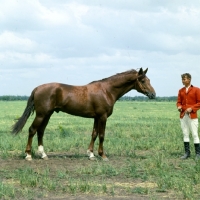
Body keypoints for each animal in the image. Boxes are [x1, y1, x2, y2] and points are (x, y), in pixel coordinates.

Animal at [11, 68, 156, 162]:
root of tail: (37, 89)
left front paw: (90, 154)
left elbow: (94, 134)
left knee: (40, 131)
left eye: (149, 79)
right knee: (32, 130)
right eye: (143, 80)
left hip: (47, 114)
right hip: (41, 115)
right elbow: (102, 135)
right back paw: (28, 155)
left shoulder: (96, 117)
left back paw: (43, 154)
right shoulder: (102, 117)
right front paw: (103, 156)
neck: (107, 90)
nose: (153, 94)